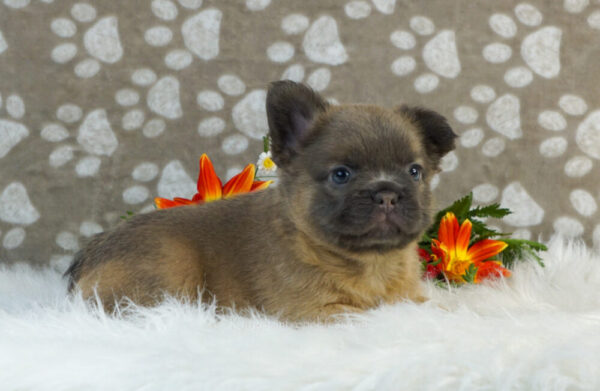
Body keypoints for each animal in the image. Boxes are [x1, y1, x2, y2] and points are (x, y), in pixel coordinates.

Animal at [64, 80, 454, 322]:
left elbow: (425, 306)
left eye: (415, 172)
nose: (386, 192)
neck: (371, 263)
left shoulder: (408, 295)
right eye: (341, 174)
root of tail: (89, 256)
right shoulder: (318, 311)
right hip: (169, 267)